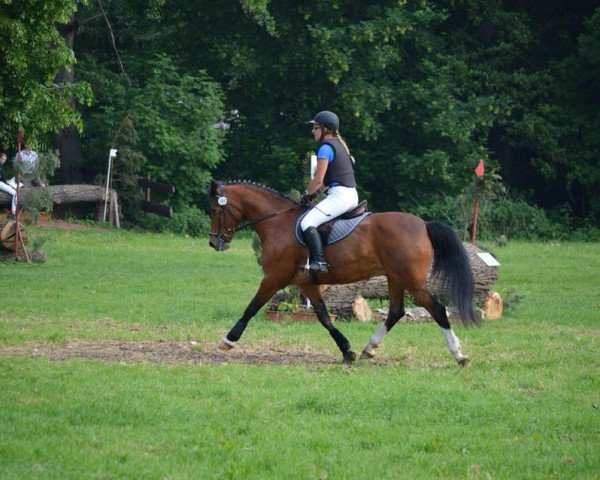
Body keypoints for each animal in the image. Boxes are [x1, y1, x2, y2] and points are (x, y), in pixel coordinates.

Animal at [207, 182, 478, 366]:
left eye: (215, 211)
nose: (214, 243)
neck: (277, 222)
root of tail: (423, 224)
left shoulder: (275, 277)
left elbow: (252, 307)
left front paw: (228, 340)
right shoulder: (306, 284)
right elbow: (324, 317)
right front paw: (347, 351)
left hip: (412, 280)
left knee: (437, 310)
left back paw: (459, 355)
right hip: (395, 278)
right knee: (396, 311)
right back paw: (369, 348)